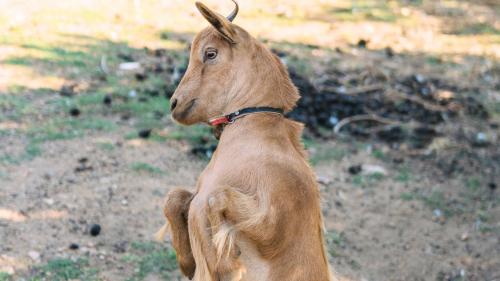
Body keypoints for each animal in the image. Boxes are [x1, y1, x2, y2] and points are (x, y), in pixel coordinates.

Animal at [158, 1, 334, 278]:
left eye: (210, 53)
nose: (175, 104)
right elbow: (175, 198)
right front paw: (187, 263)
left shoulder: (273, 224)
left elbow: (217, 197)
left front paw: (228, 263)